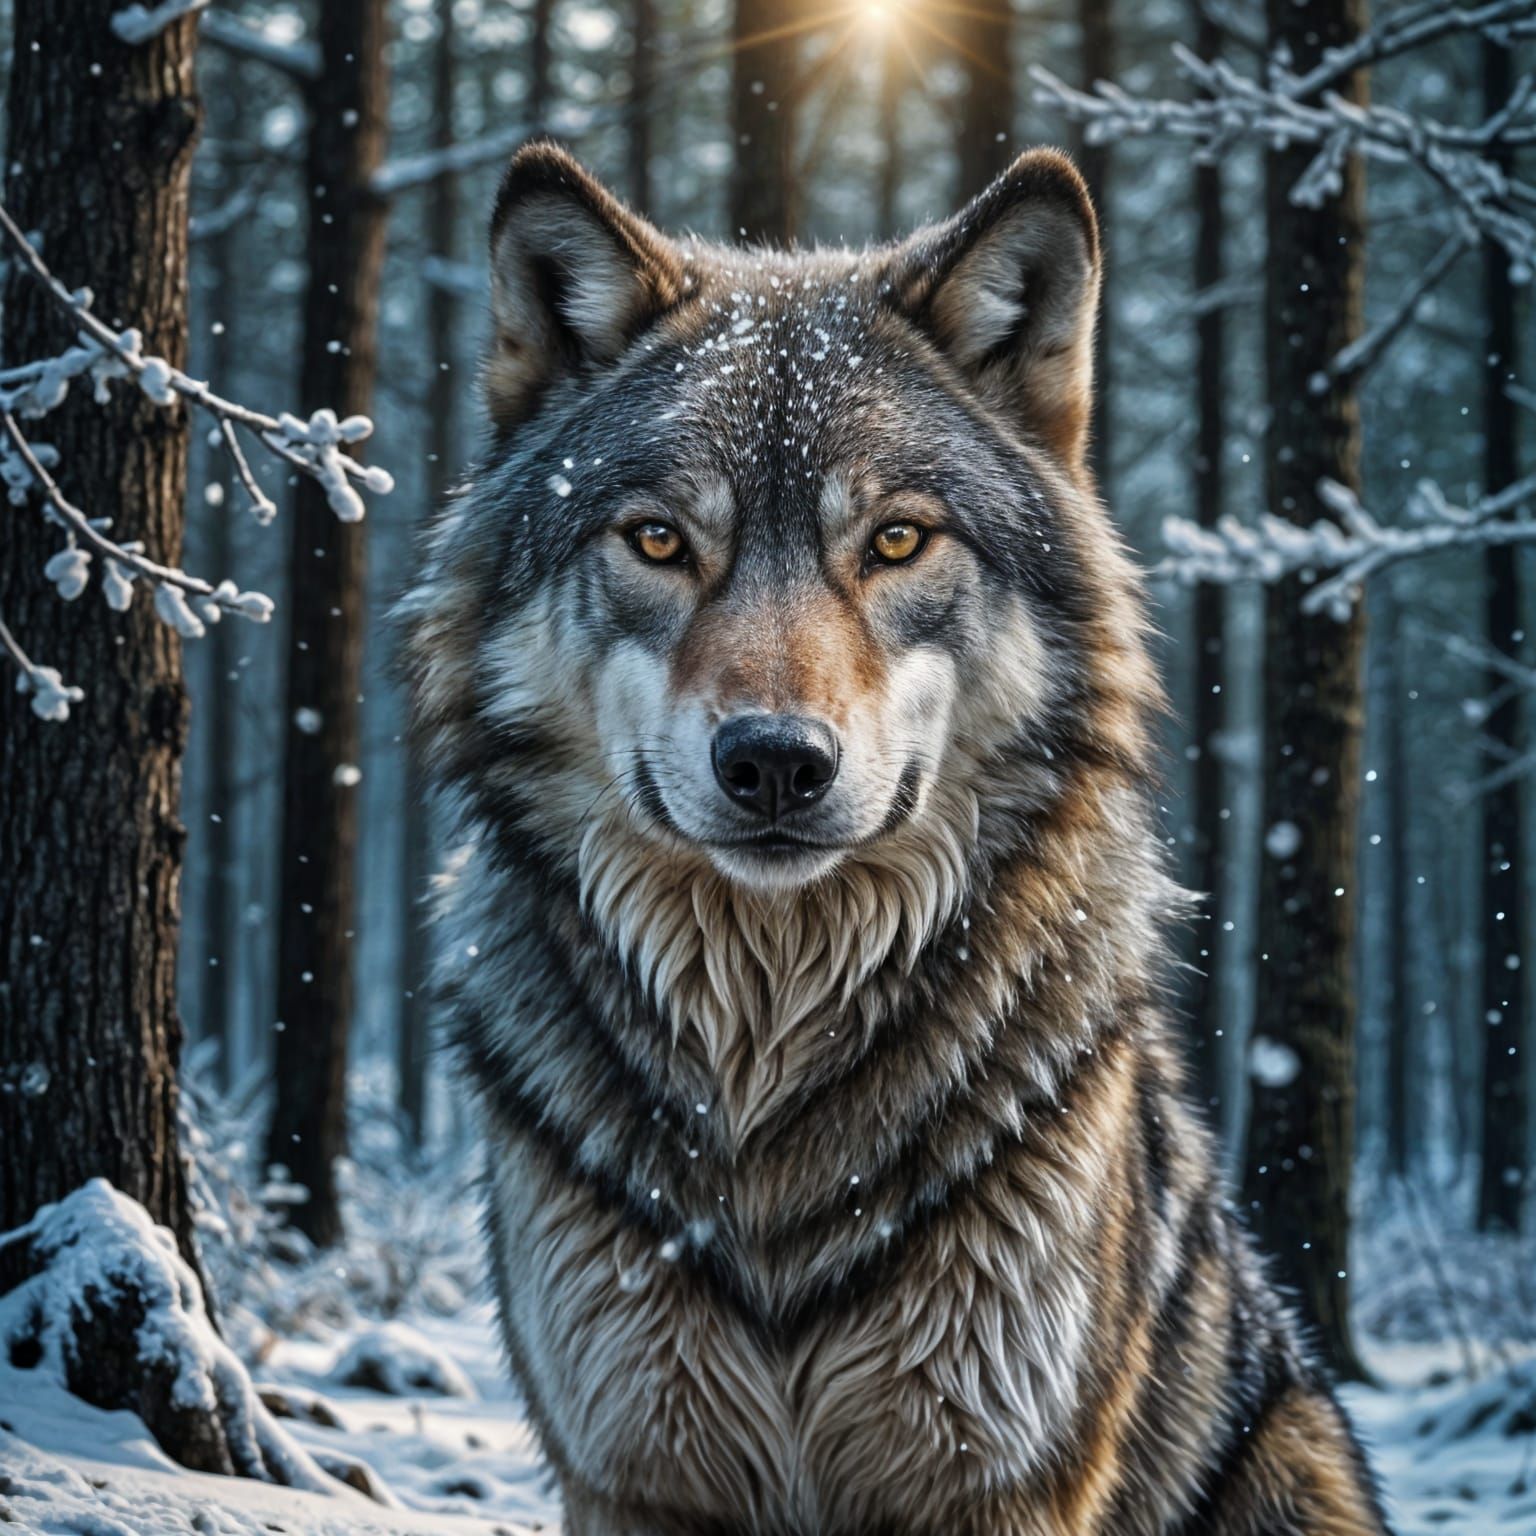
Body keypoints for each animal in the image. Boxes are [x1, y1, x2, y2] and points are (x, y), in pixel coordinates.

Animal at [402, 140, 1388, 1535]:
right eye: (658, 539)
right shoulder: (631, 1470)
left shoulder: (997, 1477)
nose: (774, 761)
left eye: (898, 539)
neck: (766, 1057)